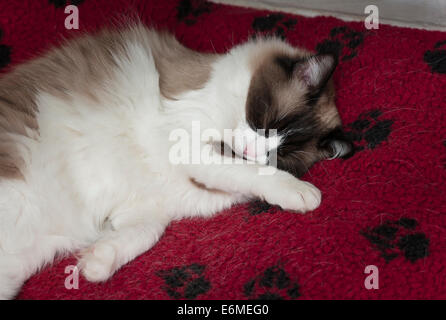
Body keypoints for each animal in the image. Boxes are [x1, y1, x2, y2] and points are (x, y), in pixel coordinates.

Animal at [0, 23, 352, 300]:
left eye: (280, 155)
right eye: (267, 122)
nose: (251, 151)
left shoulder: (148, 207)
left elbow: (144, 234)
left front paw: (96, 264)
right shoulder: (190, 146)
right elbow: (251, 173)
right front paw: (302, 193)